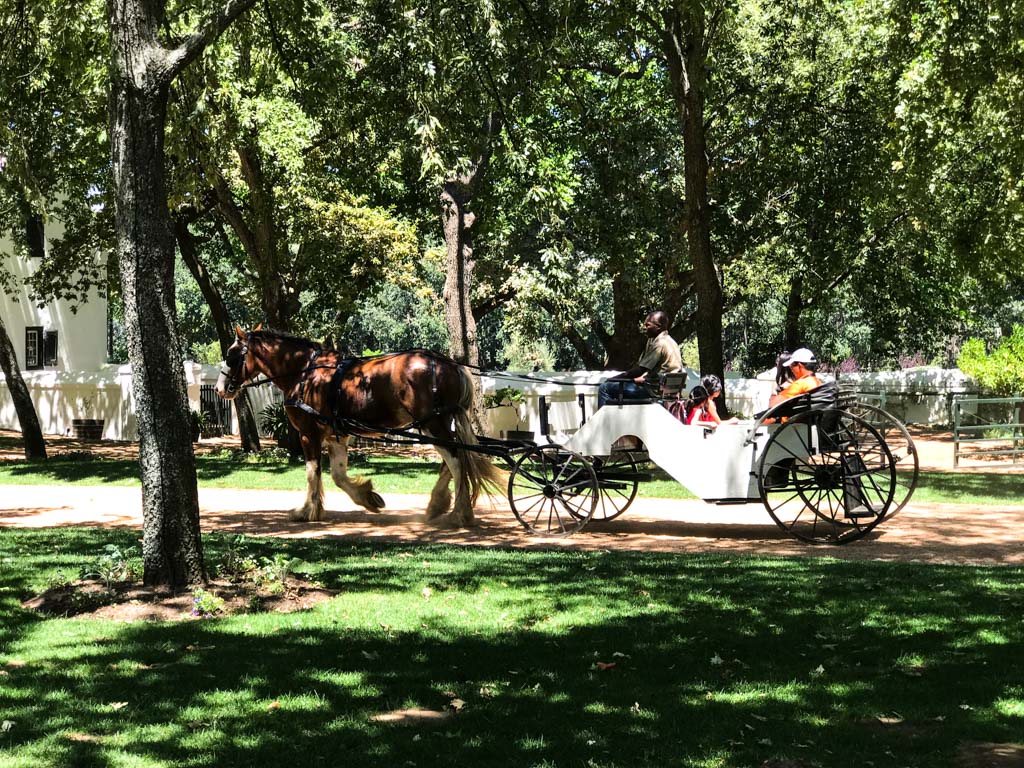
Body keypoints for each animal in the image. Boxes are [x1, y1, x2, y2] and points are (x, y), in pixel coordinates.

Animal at [215, 325, 503, 528]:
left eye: (231, 356)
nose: (220, 389)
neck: (306, 373)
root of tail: (450, 365)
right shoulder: (336, 436)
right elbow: (338, 476)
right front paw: (367, 497)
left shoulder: (309, 434)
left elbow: (312, 473)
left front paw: (307, 510)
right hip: (436, 425)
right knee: (452, 461)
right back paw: (438, 505)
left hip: (434, 423)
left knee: (456, 461)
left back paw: (460, 513)